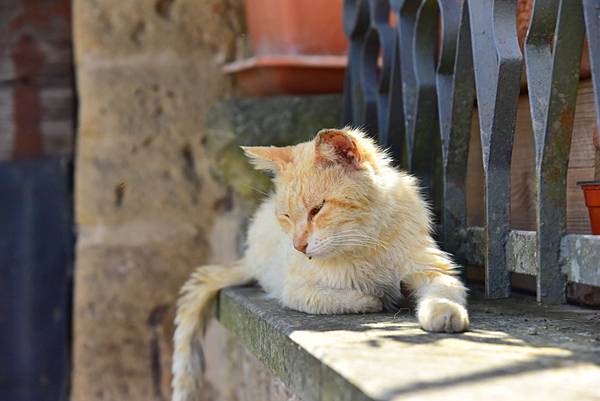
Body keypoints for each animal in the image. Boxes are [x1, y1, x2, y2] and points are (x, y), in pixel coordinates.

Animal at [171, 127, 472, 400]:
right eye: (286, 216)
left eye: (317, 210)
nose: (298, 245)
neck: (363, 245)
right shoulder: (295, 291)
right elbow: (341, 298)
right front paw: (372, 298)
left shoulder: (432, 266)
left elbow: (444, 290)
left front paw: (444, 312)